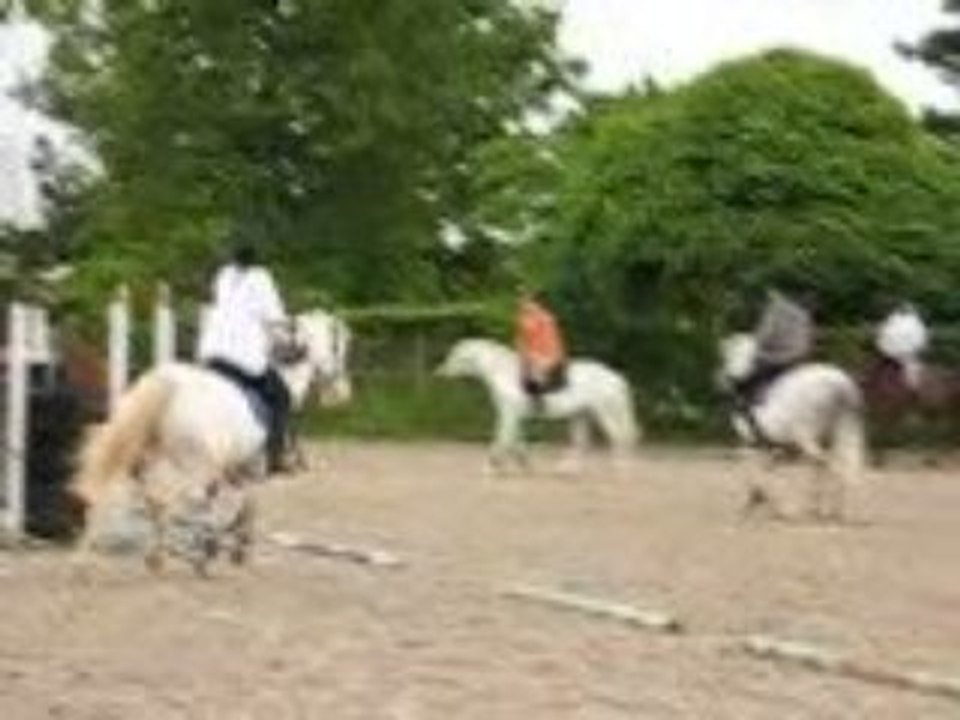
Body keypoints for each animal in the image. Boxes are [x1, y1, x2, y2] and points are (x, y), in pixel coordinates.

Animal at [70, 309, 352, 574]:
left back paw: (159, 556)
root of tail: (170, 387)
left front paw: (225, 543)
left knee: (156, 500)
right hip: (191, 465)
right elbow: (248, 505)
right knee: (180, 499)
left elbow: (227, 502)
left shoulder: (233, 470)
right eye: (337, 347)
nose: (341, 393)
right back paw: (198, 555)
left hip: (149, 460)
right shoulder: (254, 469)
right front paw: (235, 548)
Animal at [436, 338, 640, 474]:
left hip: (605, 412)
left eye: (455, 355)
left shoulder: (508, 415)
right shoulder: (514, 417)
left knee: (618, 438)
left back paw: (620, 469)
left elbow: (503, 439)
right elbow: (517, 441)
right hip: (580, 415)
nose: (440, 372)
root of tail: (615, 376)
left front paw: (491, 466)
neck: (504, 374)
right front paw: (524, 464)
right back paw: (568, 469)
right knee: (582, 442)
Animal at [718, 333, 866, 522]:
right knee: (838, 465)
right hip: (839, 431)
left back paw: (821, 508)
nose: (732, 377)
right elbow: (767, 472)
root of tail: (839, 382)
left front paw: (763, 503)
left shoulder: (752, 444)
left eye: (748, 355)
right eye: (729, 354)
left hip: (807, 437)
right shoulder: (773, 448)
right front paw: (759, 501)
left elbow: (752, 471)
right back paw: (832, 509)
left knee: (825, 463)